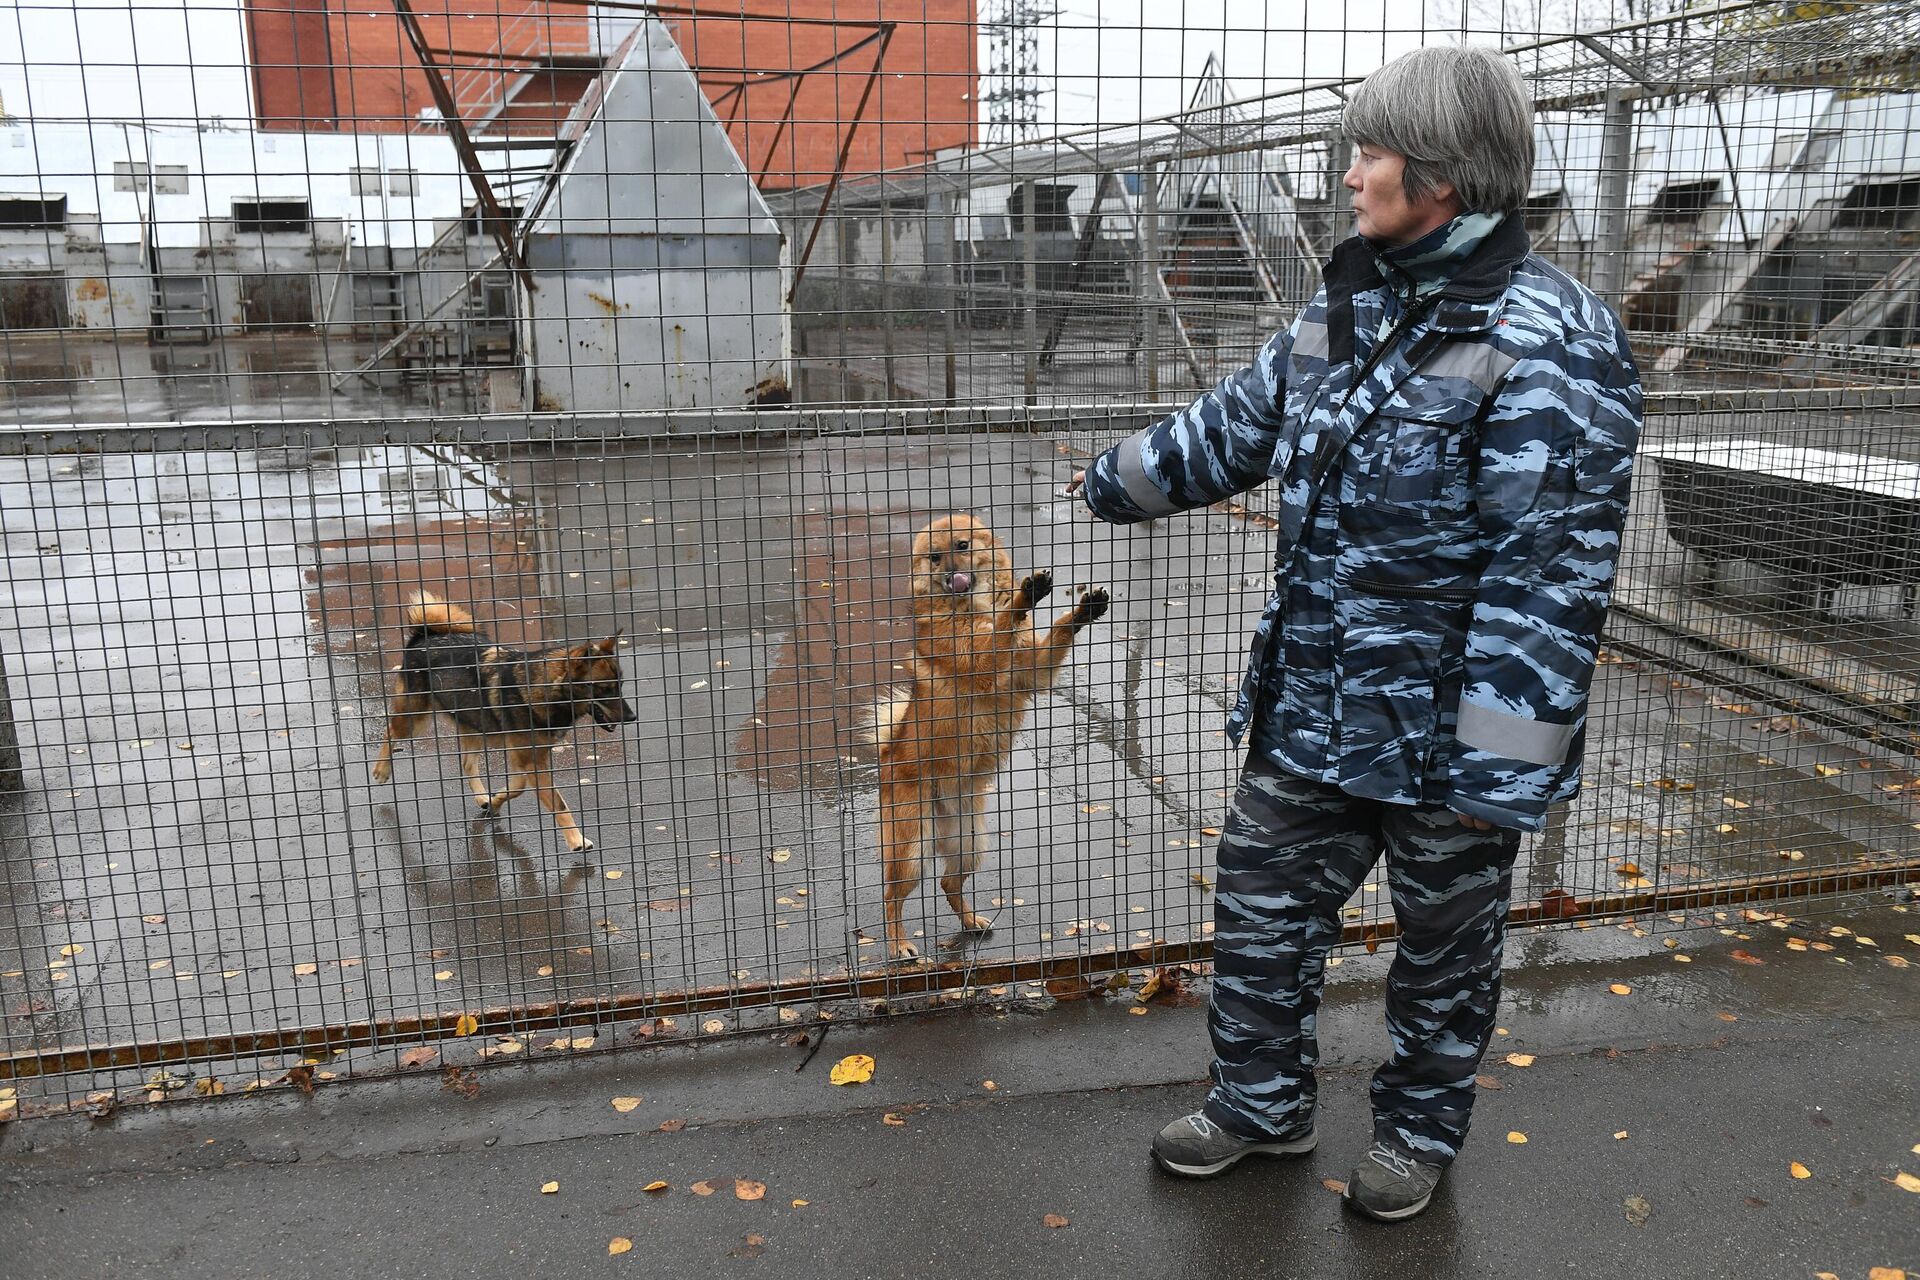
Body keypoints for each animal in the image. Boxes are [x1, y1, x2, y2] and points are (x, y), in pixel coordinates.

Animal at [370, 594, 641, 852]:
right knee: (390, 732)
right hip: (415, 718)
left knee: (467, 764)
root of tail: (424, 635)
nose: (632, 718)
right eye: (604, 689)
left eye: (621, 685)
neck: (545, 688)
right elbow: (559, 804)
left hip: (474, 725)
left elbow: (518, 787)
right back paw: (381, 770)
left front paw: (496, 800)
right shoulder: (530, 760)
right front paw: (576, 840)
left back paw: (483, 798)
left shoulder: (531, 758)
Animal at [875, 514, 1113, 955]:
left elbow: (1054, 634)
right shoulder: (983, 663)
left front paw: (1079, 611)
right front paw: (1024, 597)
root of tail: (886, 755)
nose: (950, 576)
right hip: (911, 849)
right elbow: (1002, 629)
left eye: (962, 545)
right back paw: (898, 944)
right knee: (892, 897)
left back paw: (970, 922)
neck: (973, 607)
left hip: (970, 843)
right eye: (934, 557)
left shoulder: (1031, 669)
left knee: (948, 882)